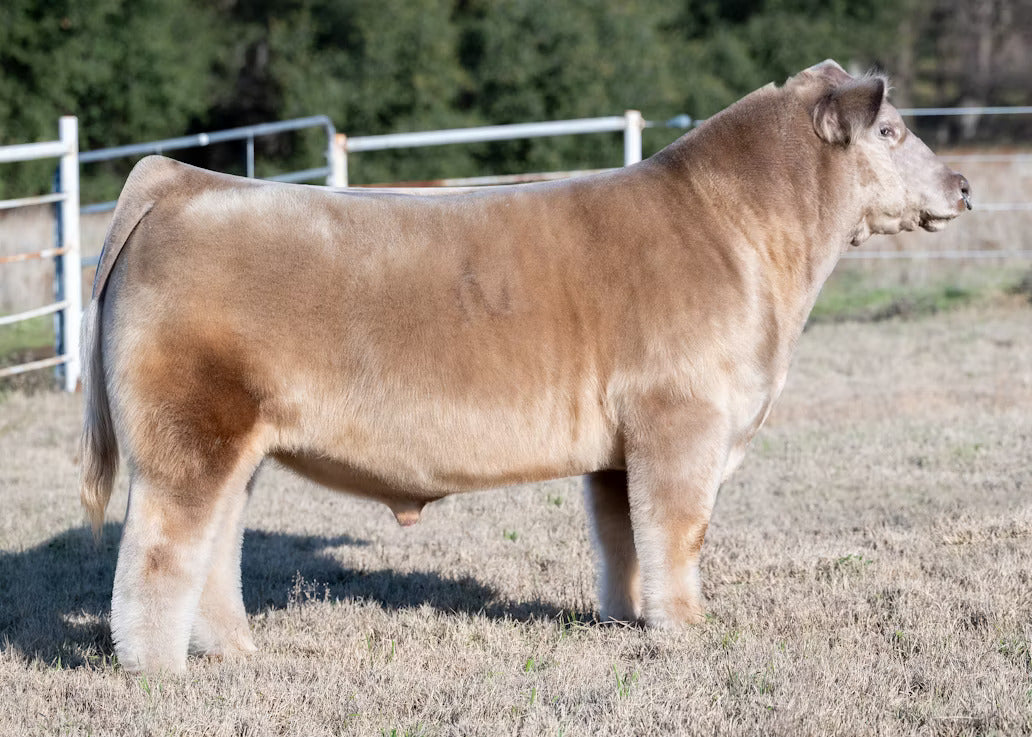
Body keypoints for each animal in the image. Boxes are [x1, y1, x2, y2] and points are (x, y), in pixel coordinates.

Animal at [80, 60, 970, 673]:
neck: (739, 235)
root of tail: (185, 179)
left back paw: (235, 649)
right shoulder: (682, 423)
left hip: (238, 444)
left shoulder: (621, 448)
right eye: (890, 132)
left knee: (218, 544)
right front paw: (686, 627)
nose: (963, 185)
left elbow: (623, 538)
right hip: (187, 437)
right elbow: (678, 531)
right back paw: (160, 672)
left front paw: (626, 617)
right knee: (159, 551)